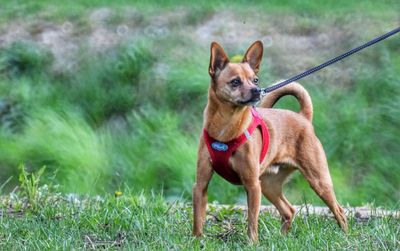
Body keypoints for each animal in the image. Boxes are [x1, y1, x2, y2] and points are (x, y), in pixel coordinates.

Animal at [193, 40, 346, 241]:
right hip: (269, 185)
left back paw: (346, 236)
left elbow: (252, 221)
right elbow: (198, 218)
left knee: (339, 211)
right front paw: (196, 241)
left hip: (318, 182)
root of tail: (303, 117)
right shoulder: (200, 186)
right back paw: (281, 238)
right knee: (289, 210)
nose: (257, 91)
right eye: (235, 82)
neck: (227, 126)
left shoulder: (252, 186)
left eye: (255, 80)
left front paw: (252, 243)